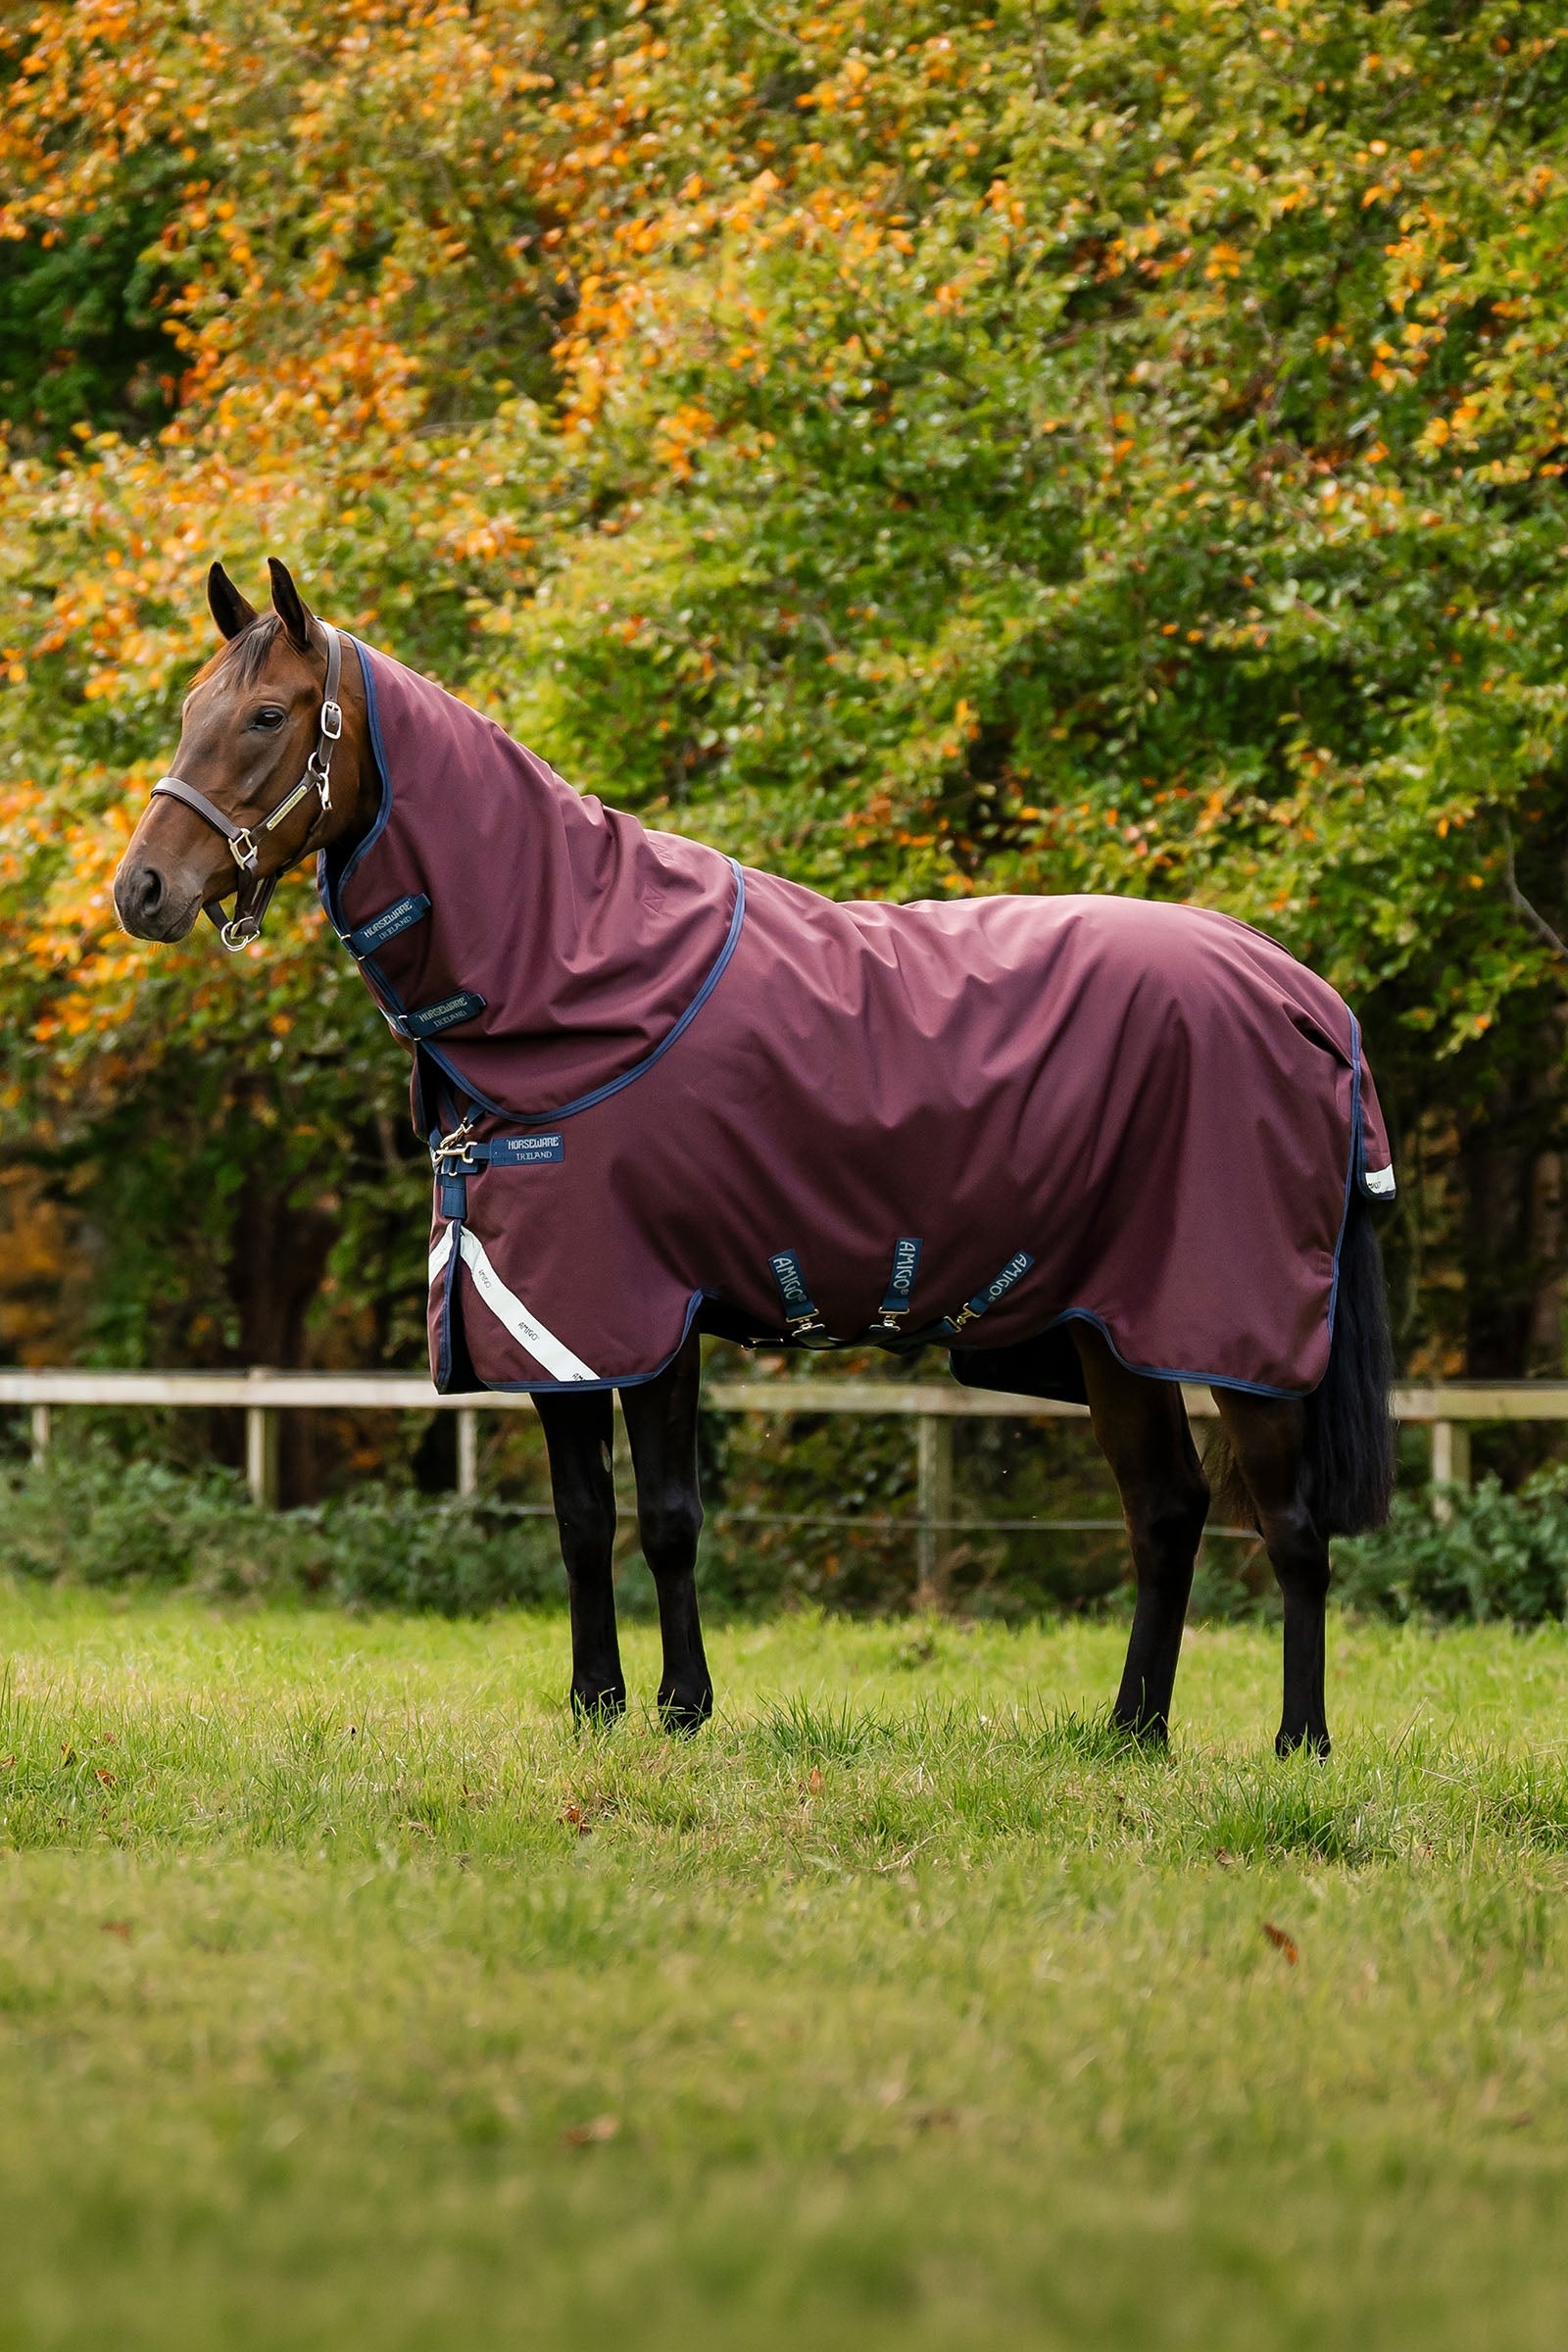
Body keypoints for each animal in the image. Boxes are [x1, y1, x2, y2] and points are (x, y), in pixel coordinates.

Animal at [113, 559, 1395, 1754]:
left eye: (265, 716)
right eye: (187, 709)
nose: (143, 890)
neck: (573, 969)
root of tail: (1305, 996)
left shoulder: (644, 1308)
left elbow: (669, 1516)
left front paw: (682, 1707)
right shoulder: (543, 1317)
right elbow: (582, 1518)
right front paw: (594, 1706)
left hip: (1237, 1333)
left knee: (1289, 1528)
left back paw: (1299, 1742)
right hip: (1113, 1335)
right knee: (1166, 1509)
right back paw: (1132, 1733)